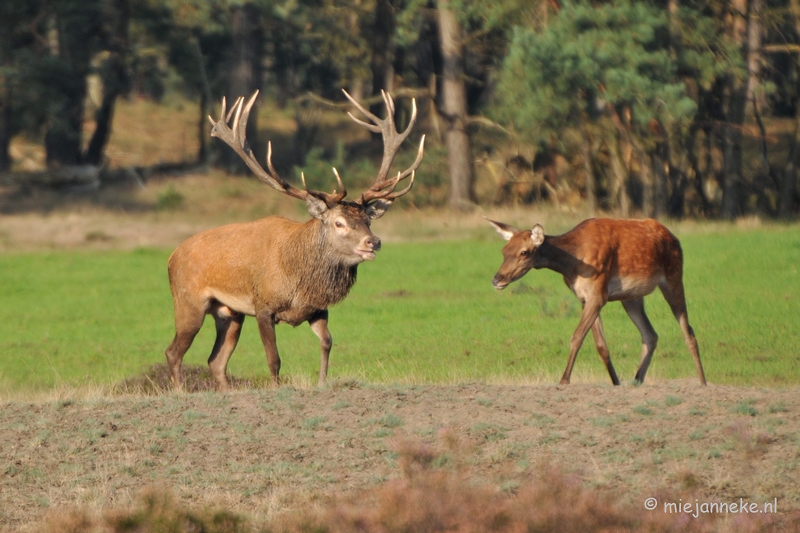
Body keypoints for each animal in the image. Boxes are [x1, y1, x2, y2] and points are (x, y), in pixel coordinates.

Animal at [164, 90, 424, 390]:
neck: (298, 278)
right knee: (173, 352)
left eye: (367, 221)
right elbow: (273, 359)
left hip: (230, 313)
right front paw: (276, 388)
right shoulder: (263, 306)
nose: (374, 242)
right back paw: (180, 392)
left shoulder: (318, 308)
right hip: (188, 301)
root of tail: (171, 257)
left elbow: (327, 343)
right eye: (339, 223)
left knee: (215, 361)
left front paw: (322, 381)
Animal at [488, 216, 708, 386]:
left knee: (688, 331)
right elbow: (601, 345)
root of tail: (674, 237)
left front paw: (564, 380)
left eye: (524, 252)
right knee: (650, 335)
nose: (497, 280)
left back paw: (703, 383)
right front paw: (616, 382)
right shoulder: (585, 298)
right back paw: (637, 380)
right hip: (631, 296)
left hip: (673, 277)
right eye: (503, 251)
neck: (572, 264)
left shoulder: (598, 293)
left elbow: (577, 337)